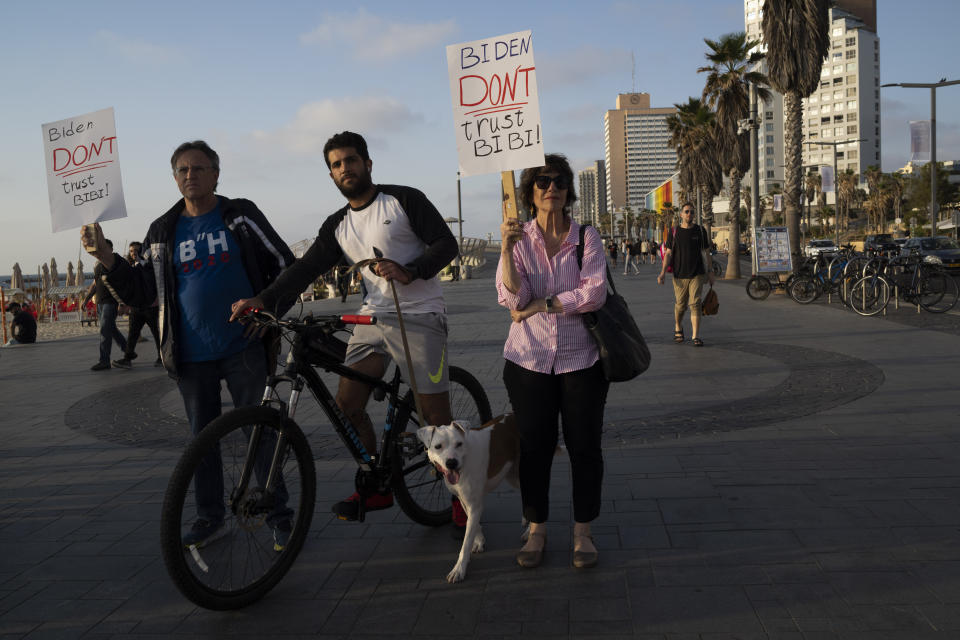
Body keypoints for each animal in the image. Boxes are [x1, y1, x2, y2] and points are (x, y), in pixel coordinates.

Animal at [414, 412, 516, 584]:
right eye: (438, 446)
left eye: (459, 444)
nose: (451, 462)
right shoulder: (464, 500)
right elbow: (472, 525)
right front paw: (479, 541)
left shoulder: (475, 504)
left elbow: (466, 541)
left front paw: (459, 569)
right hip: (513, 476)